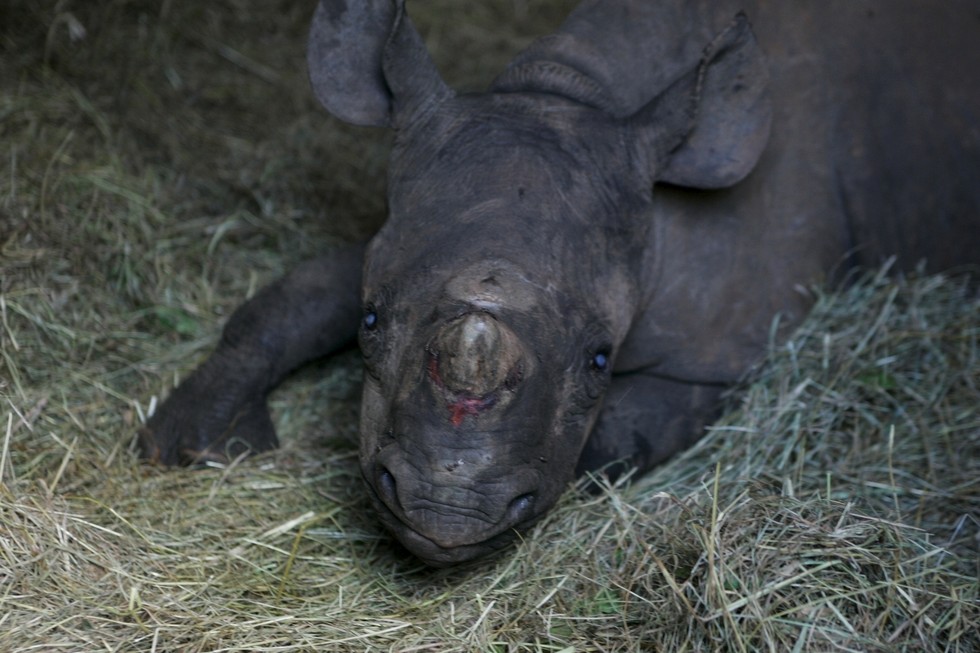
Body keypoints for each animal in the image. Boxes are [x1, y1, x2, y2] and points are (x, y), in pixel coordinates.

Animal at [142, 0, 980, 564]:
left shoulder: (716, 359)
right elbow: (303, 293)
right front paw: (194, 441)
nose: (443, 510)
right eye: (371, 321)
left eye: (601, 358)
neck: (571, 90)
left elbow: (613, 439)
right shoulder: (404, 227)